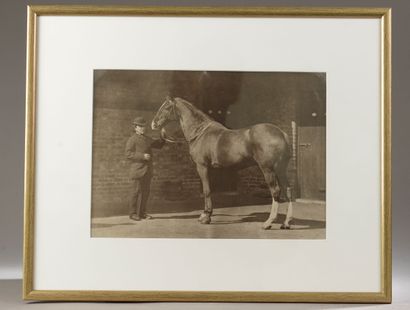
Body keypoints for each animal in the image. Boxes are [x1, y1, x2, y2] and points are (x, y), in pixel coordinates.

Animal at [152, 95, 294, 229]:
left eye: (166, 108)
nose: (153, 124)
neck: (200, 132)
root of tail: (282, 134)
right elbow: (208, 189)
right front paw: (205, 214)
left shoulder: (202, 167)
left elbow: (206, 190)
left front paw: (206, 217)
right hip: (281, 170)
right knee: (287, 190)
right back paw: (286, 223)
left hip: (268, 169)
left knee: (275, 191)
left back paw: (268, 222)